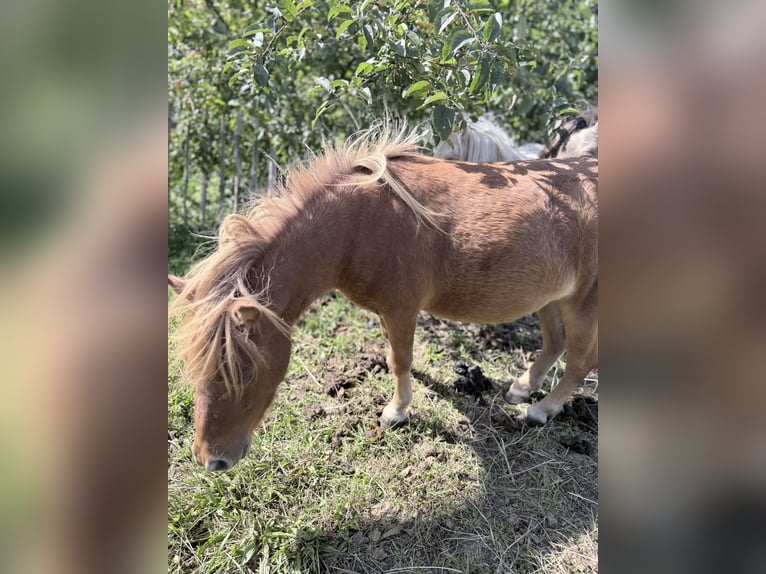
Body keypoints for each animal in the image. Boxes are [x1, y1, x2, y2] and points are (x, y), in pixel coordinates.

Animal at [169, 125, 598, 472]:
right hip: (549, 296)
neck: (359, 225)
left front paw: (397, 411)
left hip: (582, 303)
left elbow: (399, 359)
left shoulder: (401, 308)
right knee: (554, 343)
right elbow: (398, 354)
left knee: (580, 362)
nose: (211, 460)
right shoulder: (387, 312)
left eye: (244, 373)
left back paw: (541, 410)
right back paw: (522, 389)